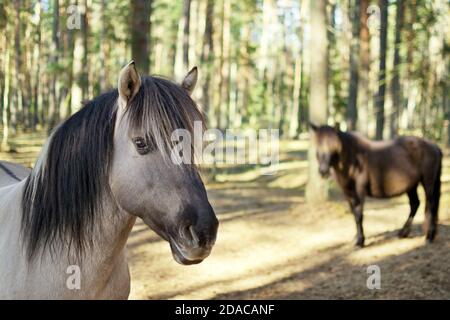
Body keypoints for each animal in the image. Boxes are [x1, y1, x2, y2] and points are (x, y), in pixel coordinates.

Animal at [310, 123, 442, 248]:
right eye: (317, 144)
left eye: (333, 145)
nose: (323, 171)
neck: (354, 158)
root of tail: (433, 146)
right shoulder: (347, 191)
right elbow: (354, 213)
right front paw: (355, 238)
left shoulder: (360, 190)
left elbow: (359, 213)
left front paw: (360, 241)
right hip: (411, 186)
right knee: (415, 204)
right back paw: (403, 233)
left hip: (428, 182)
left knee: (431, 205)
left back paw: (429, 236)